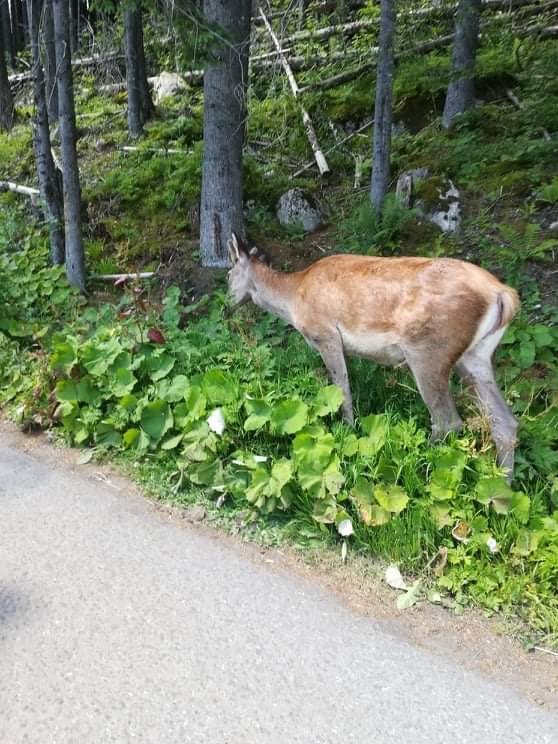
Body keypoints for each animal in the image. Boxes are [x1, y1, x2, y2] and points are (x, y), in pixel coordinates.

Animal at [226, 230, 520, 482]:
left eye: (229, 274)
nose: (225, 304)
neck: (293, 300)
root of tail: (503, 295)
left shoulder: (325, 335)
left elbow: (342, 390)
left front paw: (347, 430)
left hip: (428, 351)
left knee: (447, 420)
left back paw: (418, 465)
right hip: (476, 356)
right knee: (505, 423)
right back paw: (501, 489)